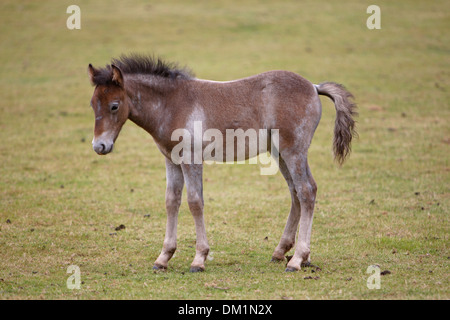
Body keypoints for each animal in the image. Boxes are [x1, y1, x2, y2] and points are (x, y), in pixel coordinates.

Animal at [87, 55, 356, 272]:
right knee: (296, 192)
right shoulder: (171, 160)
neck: (172, 104)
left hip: (293, 151)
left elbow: (195, 202)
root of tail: (313, 86)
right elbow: (171, 201)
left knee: (306, 191)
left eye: (114, 105)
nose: (99, 146)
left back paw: (297, 259)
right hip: (281, 154)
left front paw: (199, 259)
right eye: (92, 104)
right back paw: (284, 252)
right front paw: (163, 258)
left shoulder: (191, 158)